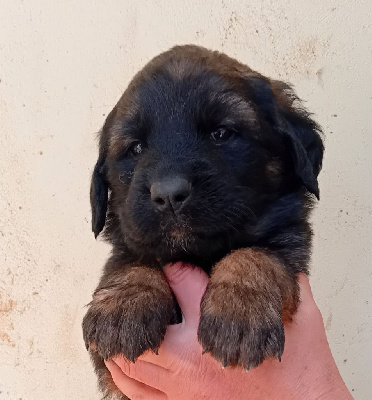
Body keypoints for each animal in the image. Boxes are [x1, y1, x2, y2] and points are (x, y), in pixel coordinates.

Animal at [82, 45, 322, 398]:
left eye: (221, 133)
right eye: (136, 148)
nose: (169, 194)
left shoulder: (289, 244)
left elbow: (254, 255)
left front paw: (238, 312)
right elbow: (131, 259)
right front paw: (124, 306)